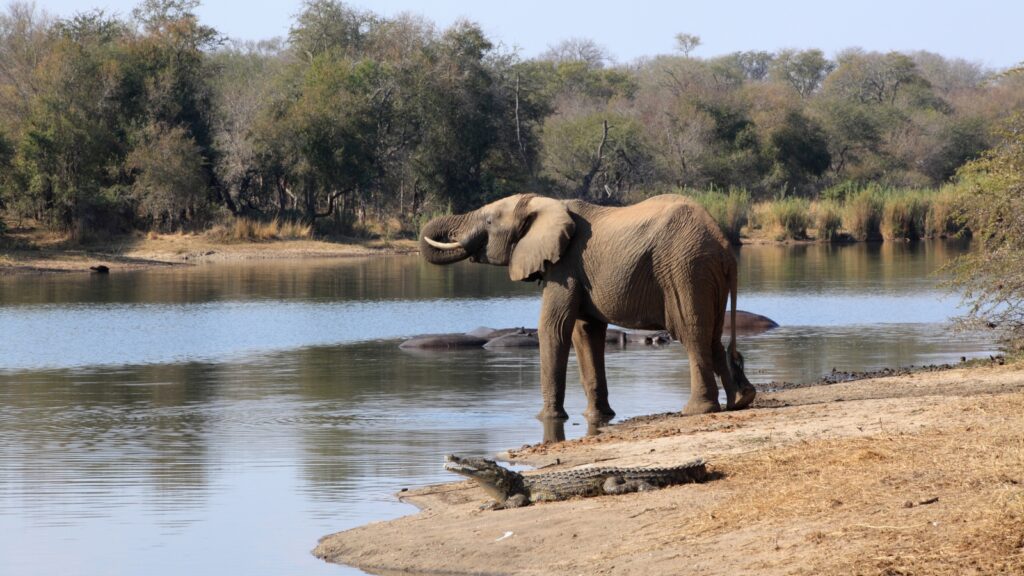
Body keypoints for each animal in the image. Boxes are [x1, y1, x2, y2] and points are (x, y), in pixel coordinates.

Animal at [419, 193, 757, 422]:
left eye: (489, 222)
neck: (544, 203)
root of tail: (724, 246)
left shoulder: (565, 265)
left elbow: (553, 327)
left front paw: (547, 419)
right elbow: (586, 332)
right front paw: (597, 417)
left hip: (685, 269)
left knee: (691, 333)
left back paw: (697, 410)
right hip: (706, 275)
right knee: (712, 337)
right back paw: (740, 400)